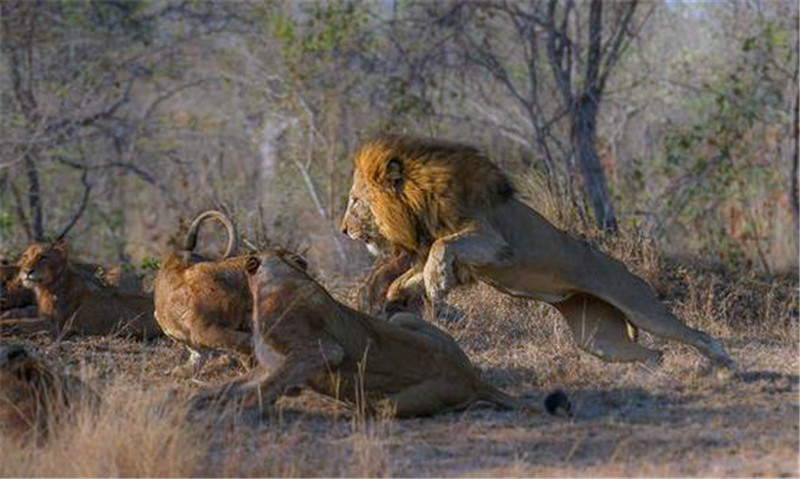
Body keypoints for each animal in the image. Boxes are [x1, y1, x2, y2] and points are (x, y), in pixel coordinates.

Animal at [2, 242, 159, 340]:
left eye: (43, 257)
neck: (46, 287)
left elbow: (20, 323)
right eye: (25, 256)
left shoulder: (55, 326)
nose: (27, 271)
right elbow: (18, 315)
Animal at [191, 253, 572, 418]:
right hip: (402, 316)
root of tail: (472, 376)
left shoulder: (319, 351)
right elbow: (228, 385)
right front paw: (192, 401)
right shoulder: (271, 363)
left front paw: (241, 412)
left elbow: (266, 387)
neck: (281, 276)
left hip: (396, 402)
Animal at [340, 135, 736, 372]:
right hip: (599, 340)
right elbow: (413, 274)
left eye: (355, 200)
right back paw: (650, 371)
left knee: (693, 334)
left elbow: (443, 247)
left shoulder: (493, 241)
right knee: (654, 352)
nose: (343, 230)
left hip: (640, 307)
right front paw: (404, 295)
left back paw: (724, 363)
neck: (417, 206)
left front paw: (437, 285)